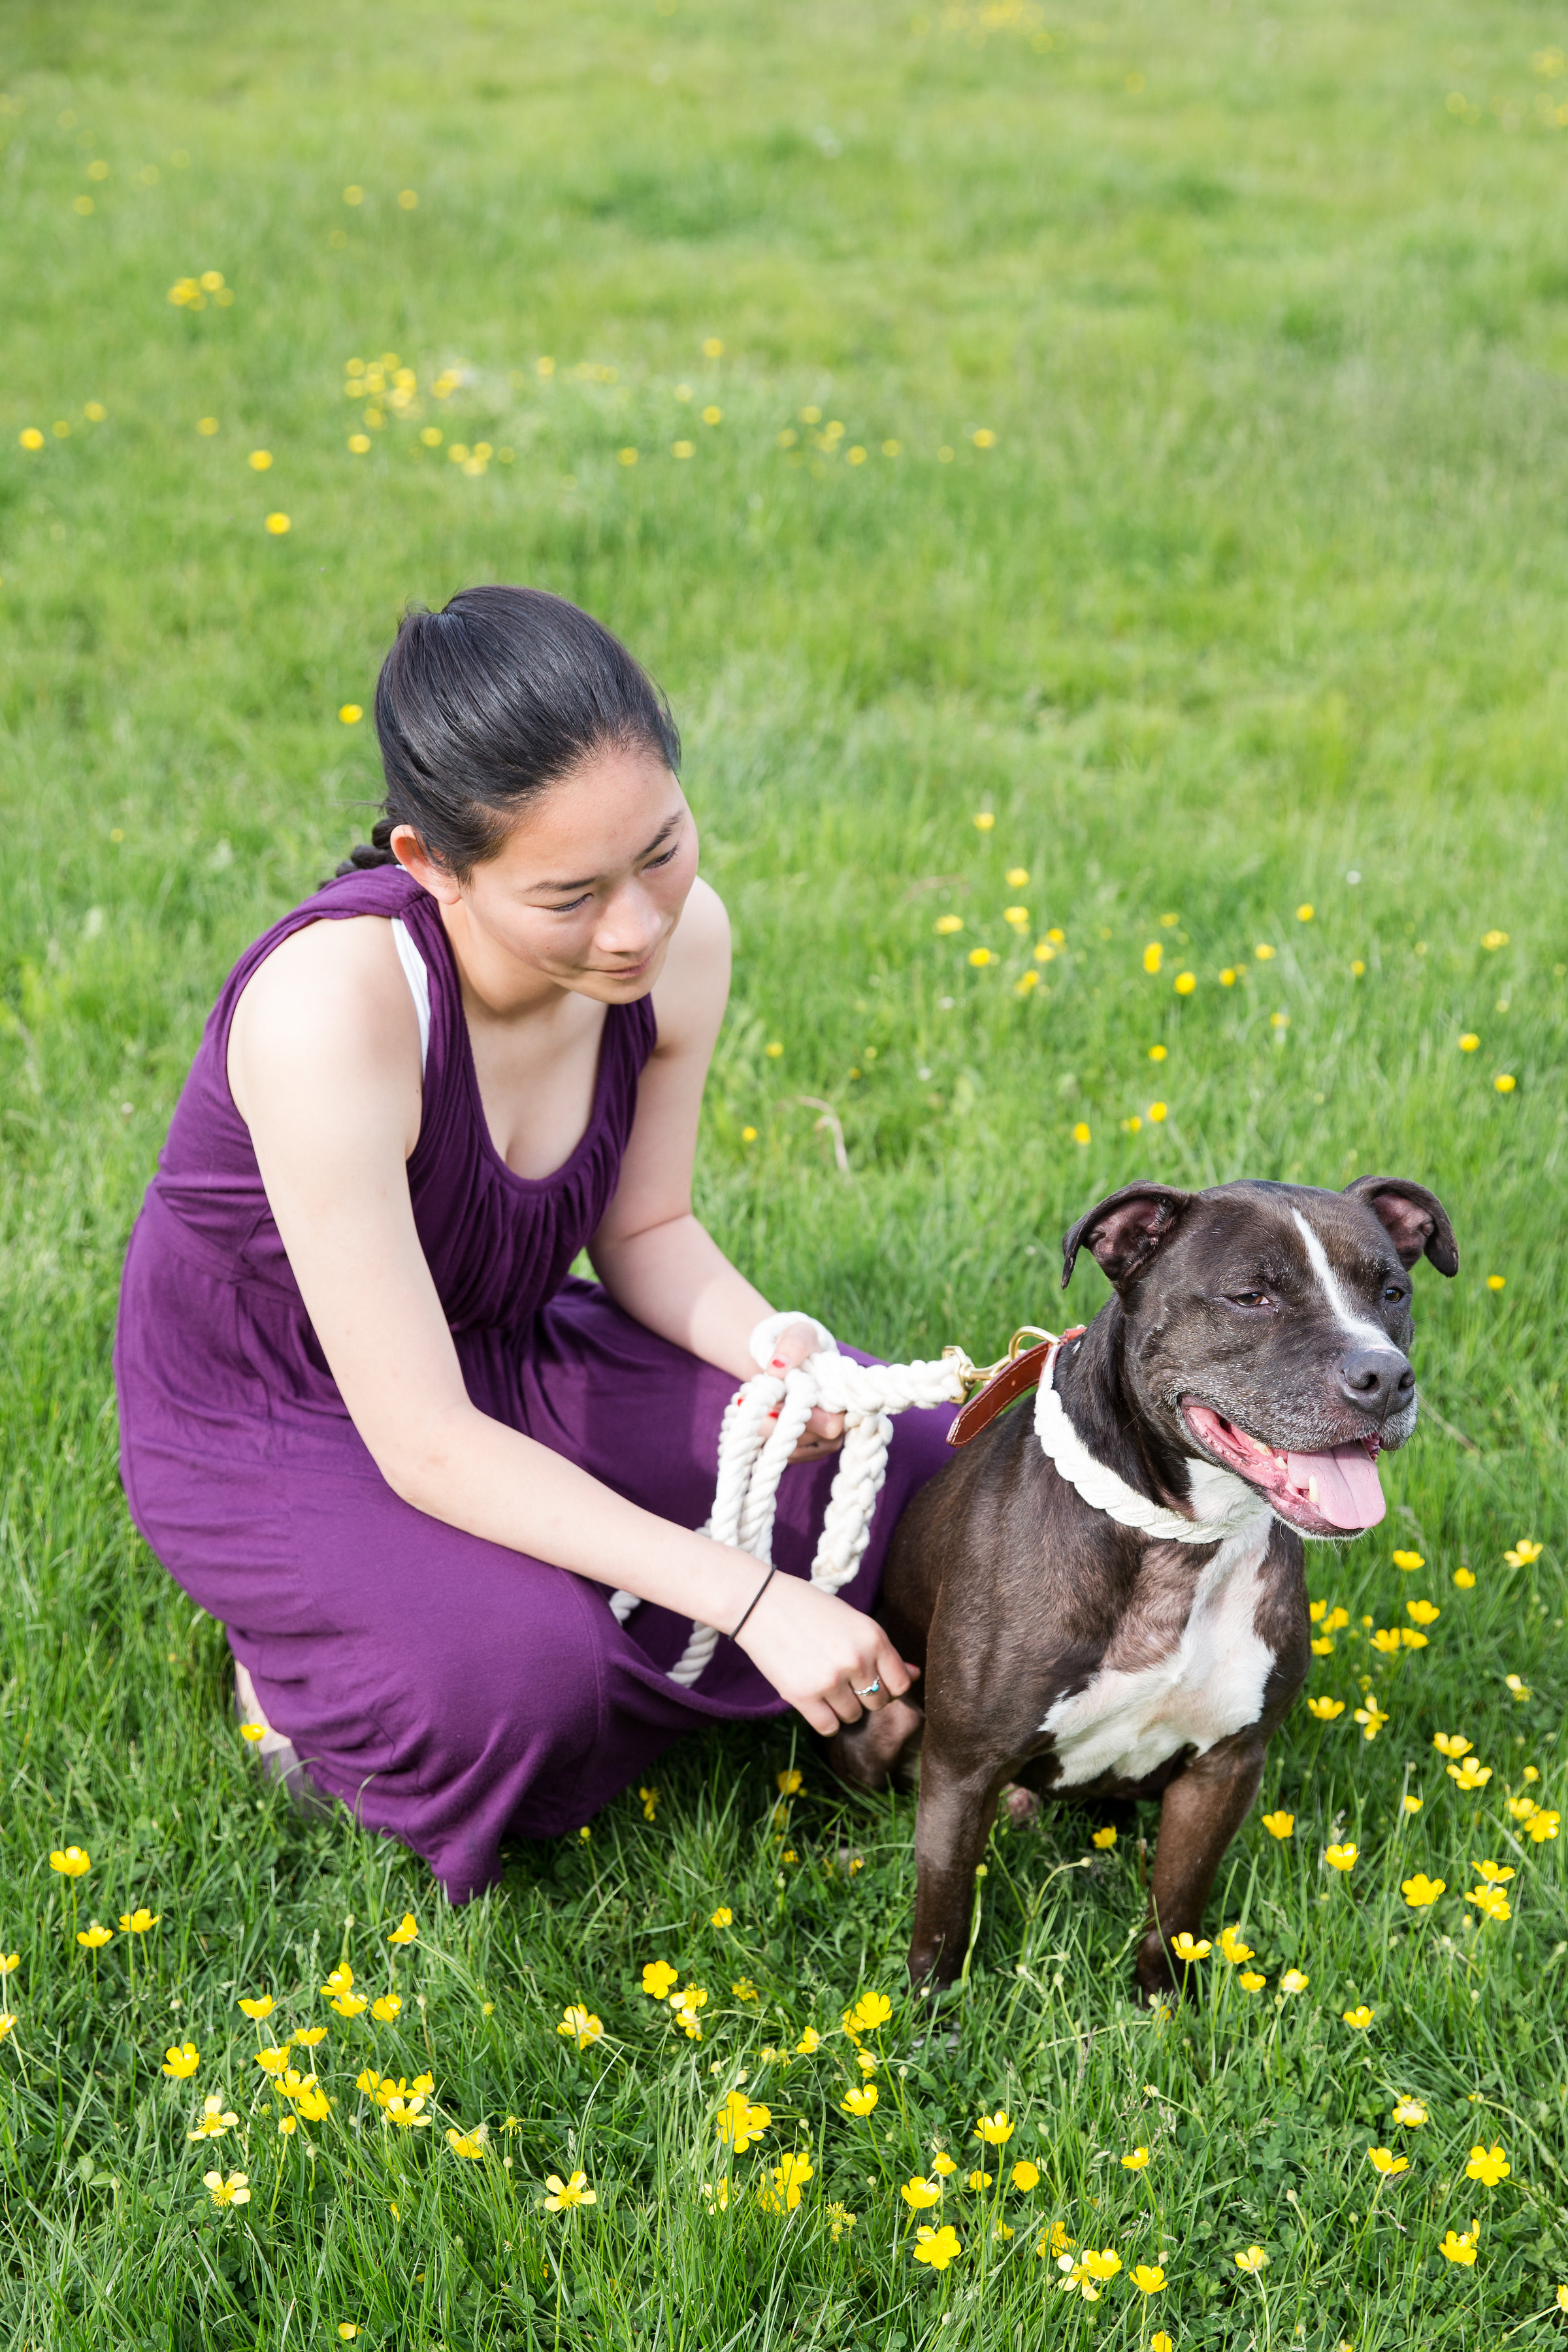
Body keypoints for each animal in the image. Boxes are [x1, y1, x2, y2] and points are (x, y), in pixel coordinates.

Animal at [829, 1174, 1457, 2002]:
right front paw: (929, 2015)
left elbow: (1178, 1905)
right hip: (882, 1732)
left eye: (1391, 1292)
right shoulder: (962, 1770)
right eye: (1251, 1297)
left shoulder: (1225, 1766)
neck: (1182, 1544)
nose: (1384, 1376)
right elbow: (942, 1913)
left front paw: (1165, 2004)